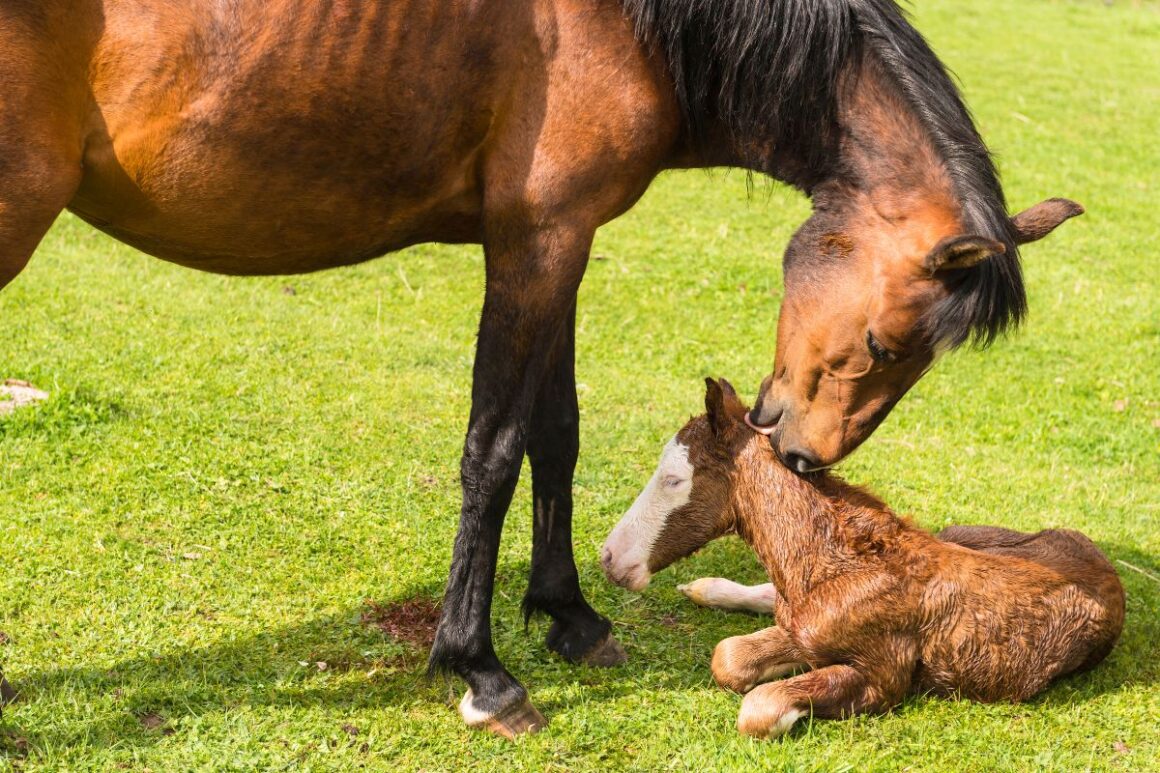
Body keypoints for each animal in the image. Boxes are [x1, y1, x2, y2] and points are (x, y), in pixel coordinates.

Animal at [607, 378, 1122, 733]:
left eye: (674, 479)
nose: (610, 557)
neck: (831, 565)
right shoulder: (802, 627)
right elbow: (730, 657)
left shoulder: (883, 676)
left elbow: (760, 704)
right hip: (960, 532)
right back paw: (706, 588)